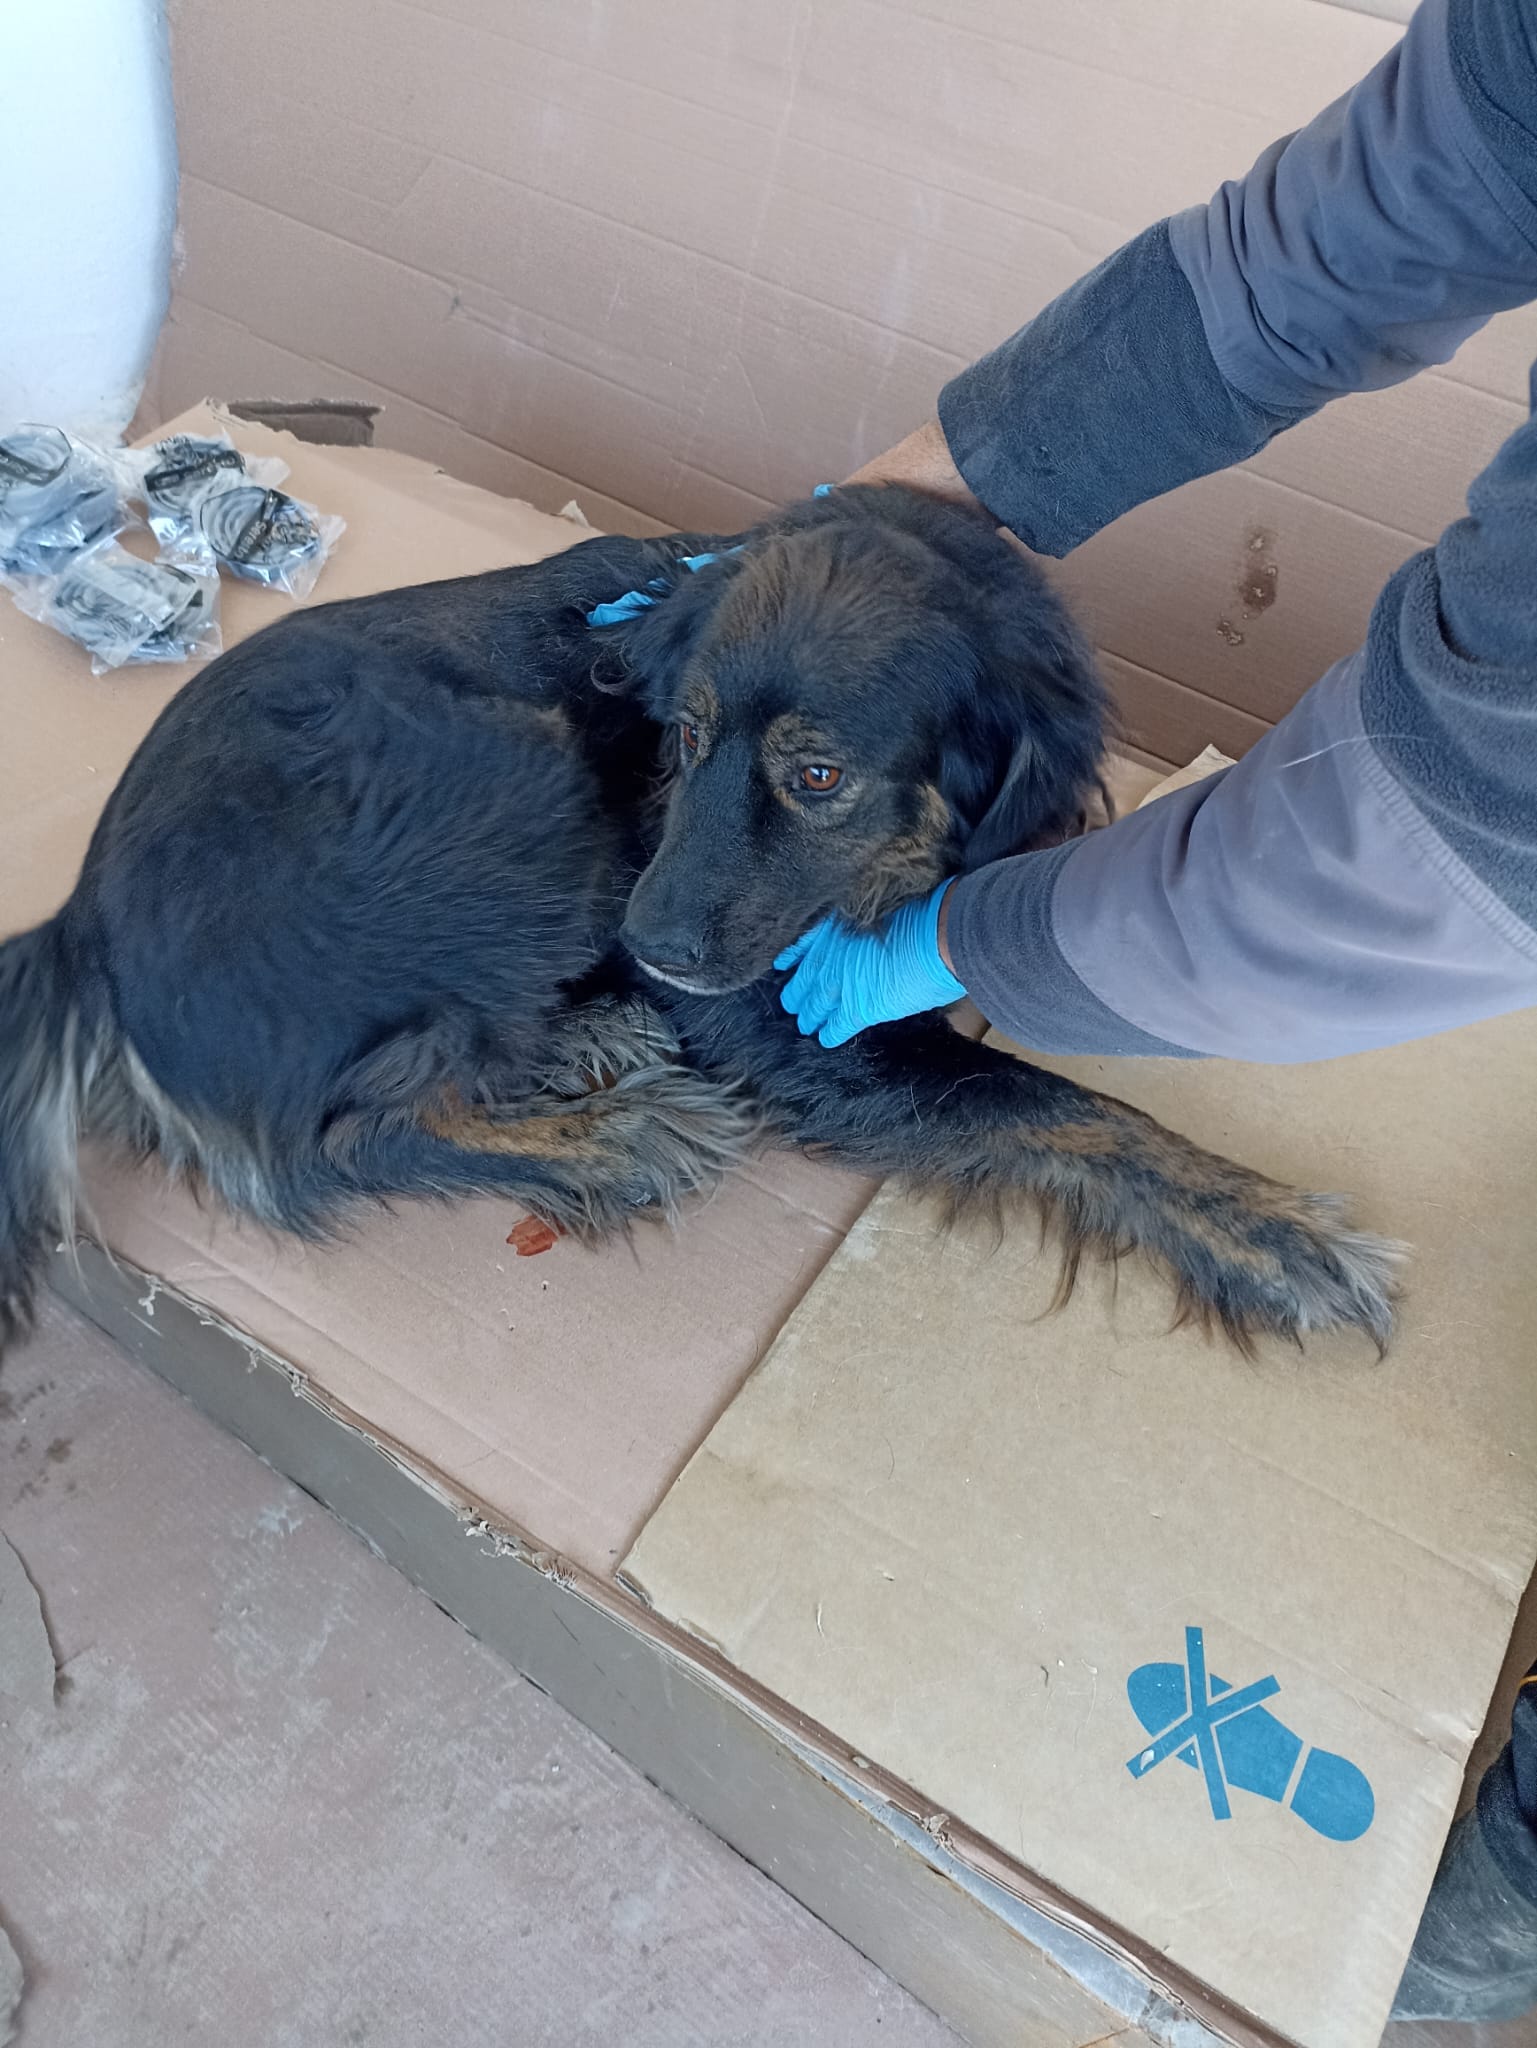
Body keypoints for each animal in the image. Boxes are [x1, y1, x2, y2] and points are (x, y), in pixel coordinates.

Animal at [0, 485, 1397, 1359]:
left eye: (816, 775)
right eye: (680, 735)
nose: (650, 947)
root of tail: (87, 919)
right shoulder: (782, 1023)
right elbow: (1060, 1105)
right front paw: (1268, 1225)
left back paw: (584, 1045)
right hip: (530, 777)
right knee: (344, 1134)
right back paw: (611, 1135)